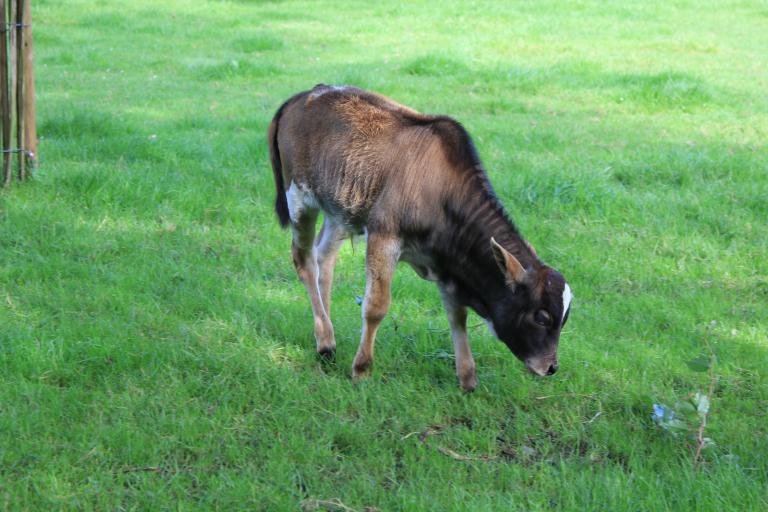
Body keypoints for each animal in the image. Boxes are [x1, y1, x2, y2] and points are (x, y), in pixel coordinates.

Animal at [266, 84, 568, 390]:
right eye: (542, 316)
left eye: (564, 319)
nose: (552, 367)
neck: (441, 191)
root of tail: (305, 94)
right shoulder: (383, 237)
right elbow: (376, 307)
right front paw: (362, 369)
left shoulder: (445, 262)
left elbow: (457, 315)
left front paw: (467, 379)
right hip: (299, 198)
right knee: (305, 262)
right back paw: (326, 341)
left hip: (341, 211)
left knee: (324, 259)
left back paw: (327, 337)